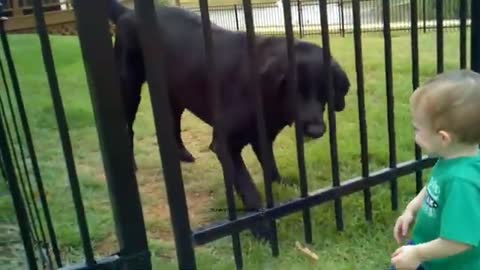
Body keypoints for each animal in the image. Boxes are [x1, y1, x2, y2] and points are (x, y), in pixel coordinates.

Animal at [108, 2, 348, 238]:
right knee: (127, 129)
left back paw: (182, 154)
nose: (316, 130)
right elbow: (248, 188)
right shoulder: (225, 145)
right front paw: (263, 228)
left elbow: (270, 165)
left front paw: (282, 186)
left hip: (175, 94)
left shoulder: (263, 138)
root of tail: (128, 11)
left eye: (325, 90)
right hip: (129, 87)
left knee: (173, 123)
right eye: (294, 90)